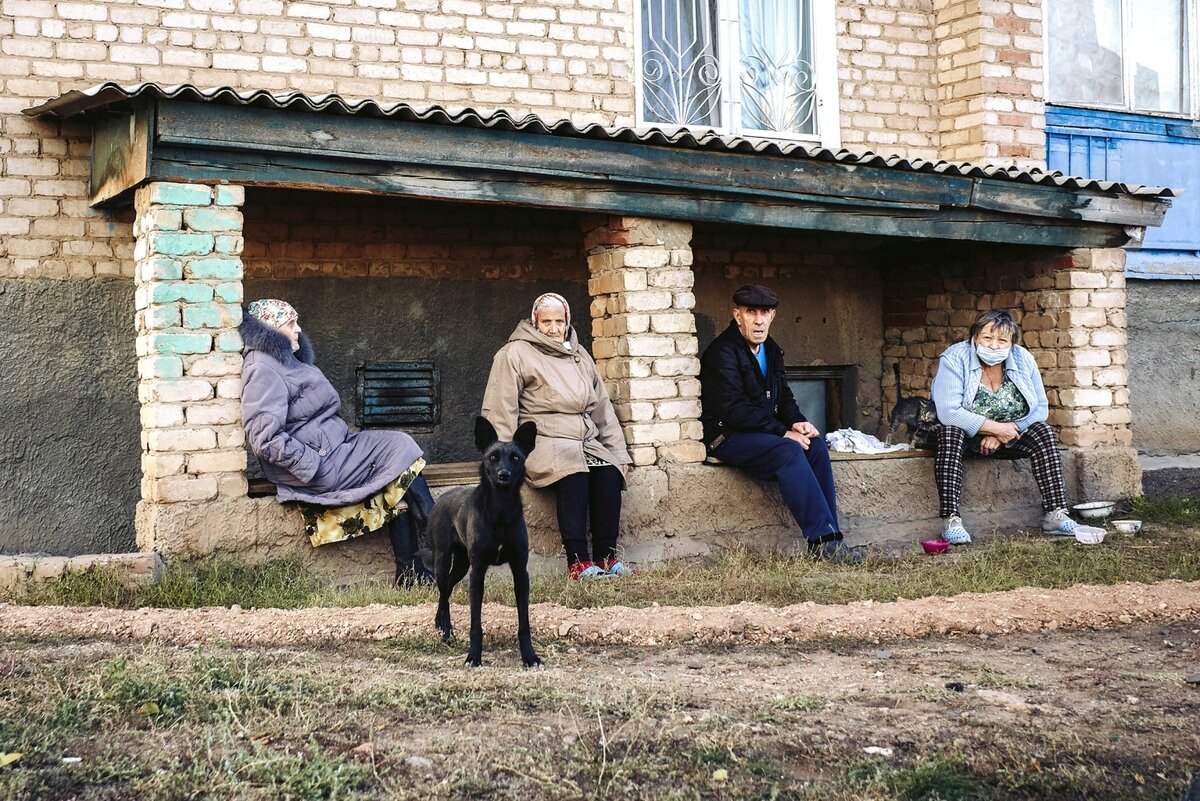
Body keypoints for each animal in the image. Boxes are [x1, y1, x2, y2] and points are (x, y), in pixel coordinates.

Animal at [424, 417, 542, 666]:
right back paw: (447, 633)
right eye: (492, 457)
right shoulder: (477, 572)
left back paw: (439, 623)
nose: (504, 475)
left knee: (447, 589)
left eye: (516, 458)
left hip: (461, 564)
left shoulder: (520, 572)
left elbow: (524, 622)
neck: (500, 511)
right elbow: (475, 622)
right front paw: (473, 656)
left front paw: (529, 656)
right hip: (442, 560)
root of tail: (442, 499)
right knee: (444, 593)